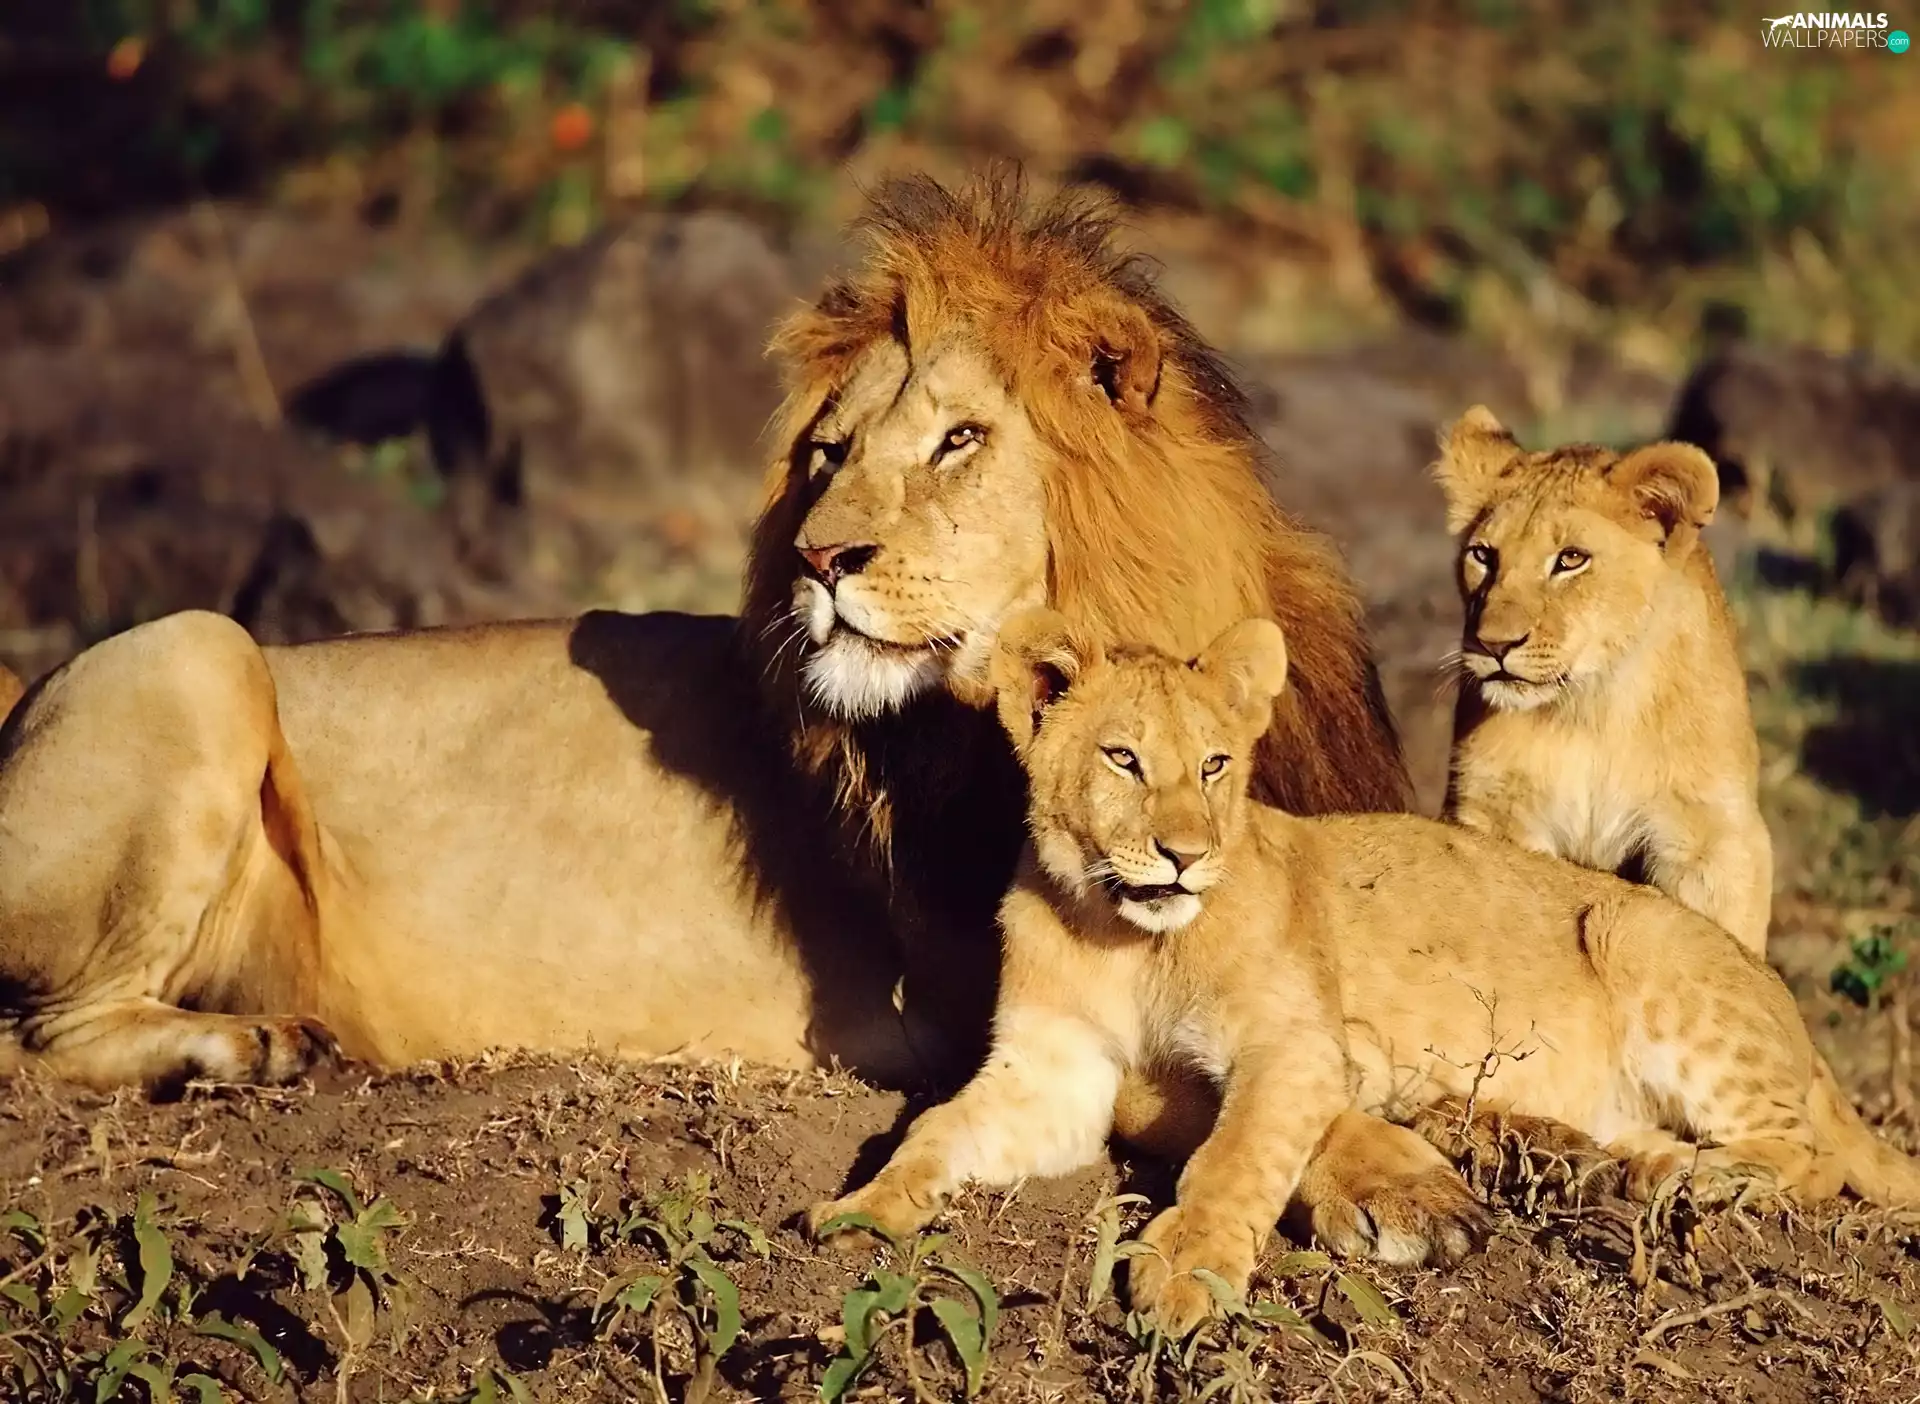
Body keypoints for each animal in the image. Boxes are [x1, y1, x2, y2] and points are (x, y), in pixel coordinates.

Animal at [808, 607, 1920, 1337]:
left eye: (1215, 765)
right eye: (1123, 759)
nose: (1183, 854)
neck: (1123, 934)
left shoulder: (1295, 1044)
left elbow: (1238, 1155)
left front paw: (1187, 1272)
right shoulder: (1055, 1073)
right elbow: (938, 1130)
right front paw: (862, 1211)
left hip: (1635, 932)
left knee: (1806, 1158)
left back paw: (1692, 1178)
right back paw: (1609, 1167)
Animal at [1433, 407, 1774, 956]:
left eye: (1571, 559)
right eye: (1483, 555)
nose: (1493, 645)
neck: (1592, 708)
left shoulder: (1714, 834)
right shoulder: (1492, 809)